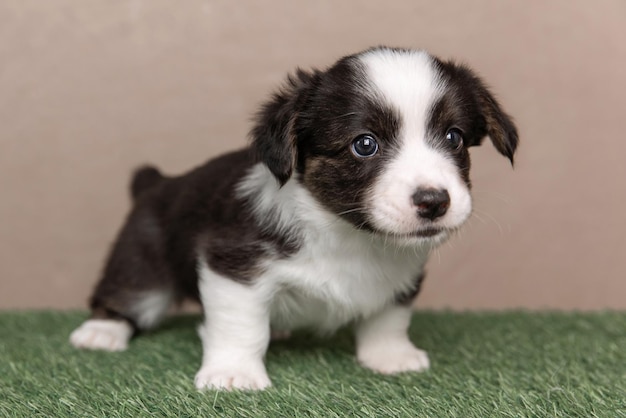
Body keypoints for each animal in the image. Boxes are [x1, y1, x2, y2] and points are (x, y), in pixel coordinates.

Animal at [69, 47, 516, 390]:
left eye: (454, 137)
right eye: (364, 144)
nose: (434, 202)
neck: (347, 234)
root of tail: (157, 182)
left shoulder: (402, 275)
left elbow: (389, 317)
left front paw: (390, 356)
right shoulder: (234, 265)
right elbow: (241, 325)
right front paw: (233, 374)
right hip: (140, 260)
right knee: (126, 295)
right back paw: (101, 332)